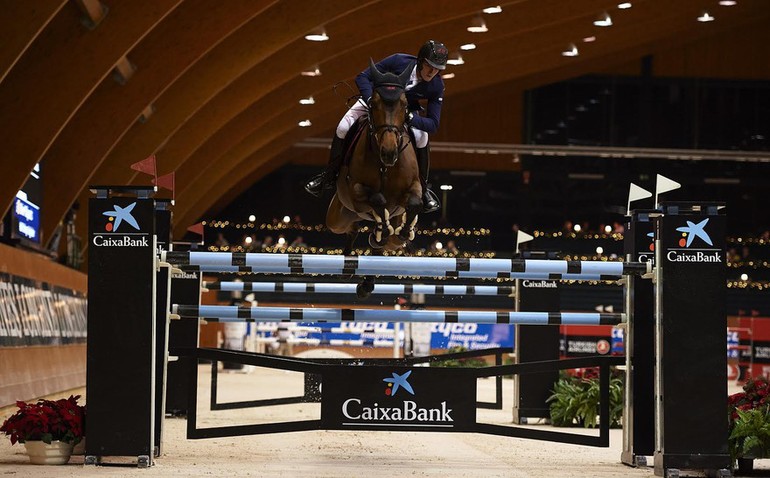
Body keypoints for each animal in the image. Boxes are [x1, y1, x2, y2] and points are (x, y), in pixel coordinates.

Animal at [322, 60, 420, 296]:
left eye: (404, 105)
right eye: (374, 103)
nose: (389, 152)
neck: (385, 166)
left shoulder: (414, 188)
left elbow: (414, 202)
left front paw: (403, 230)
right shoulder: (356, 191)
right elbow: (377, 199)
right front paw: (380, 229)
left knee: (386, 245)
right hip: (339, 216)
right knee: (351, 228)